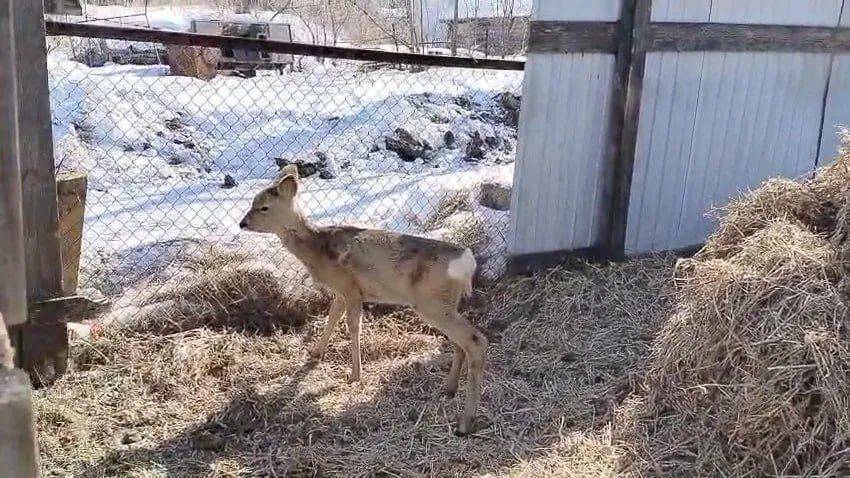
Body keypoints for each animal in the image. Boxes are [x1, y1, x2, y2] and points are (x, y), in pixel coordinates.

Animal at [242, 165, 486, 436]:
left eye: (263, 207)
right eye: (253, 202)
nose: (243, 223)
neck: (317, 248)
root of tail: (467, 260)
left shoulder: (351, 288)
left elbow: (353, 326)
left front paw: (354, 375)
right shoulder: (339, 291)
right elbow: (331, 318)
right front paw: (315, 353)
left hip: (432, 303)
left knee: (476, 340)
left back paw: (465, 422)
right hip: (446, 303)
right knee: (460, 343)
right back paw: (448, 389)